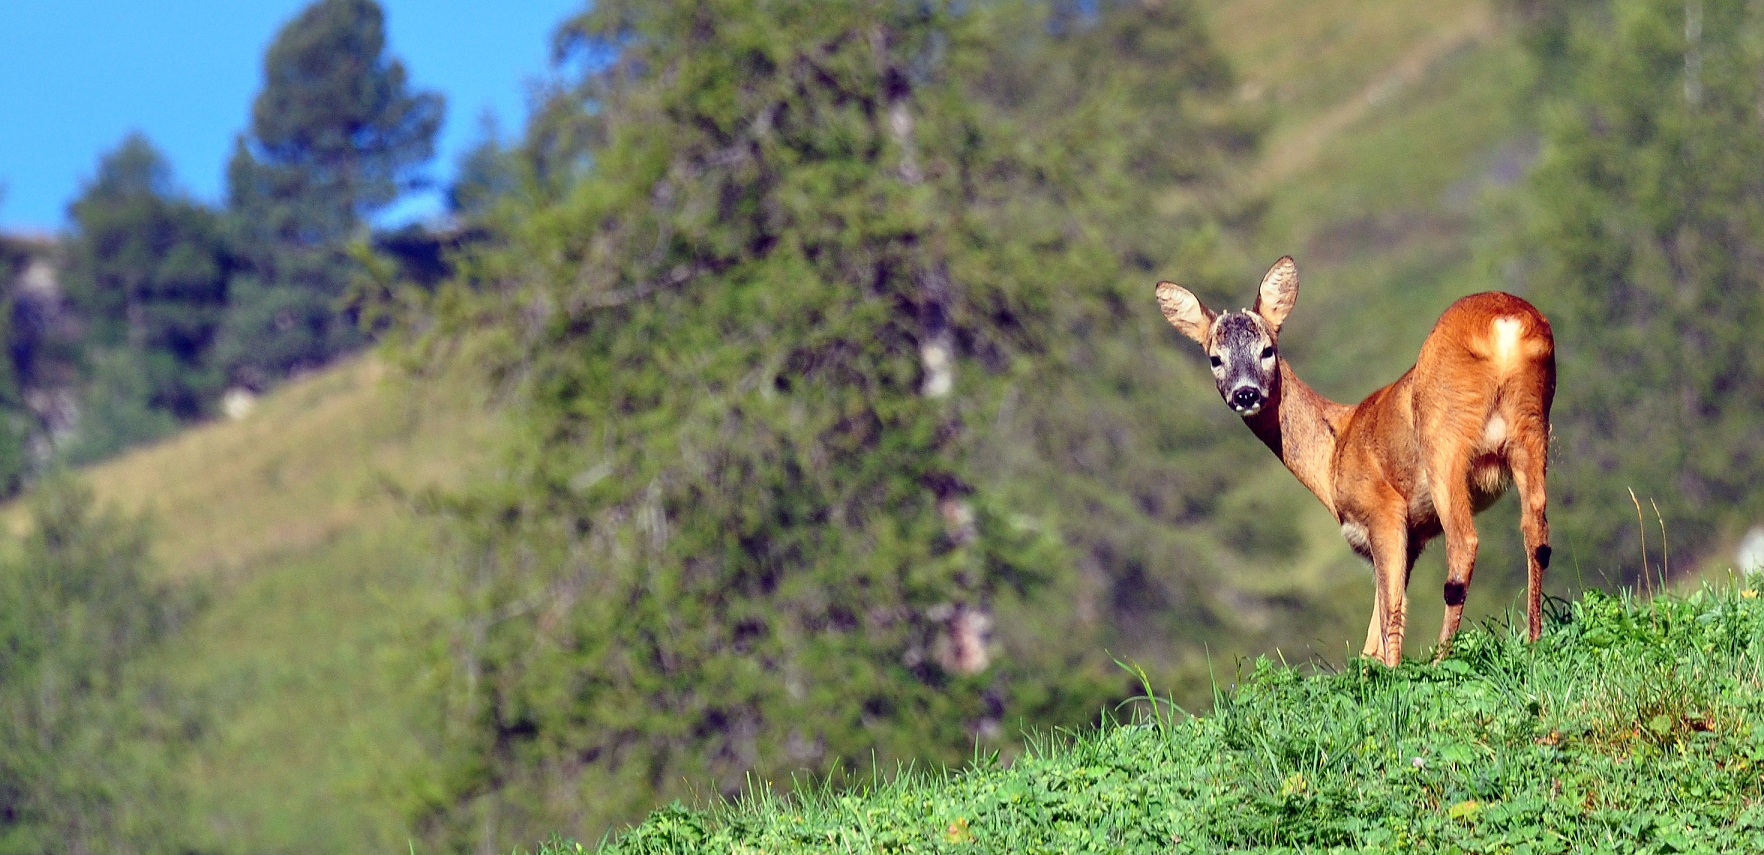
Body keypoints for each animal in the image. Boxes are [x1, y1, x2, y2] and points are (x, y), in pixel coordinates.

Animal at [1157, 257, 1559, 662]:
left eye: (1267, 349)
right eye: (1215, 358)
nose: (1245, 393)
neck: (1334, 450)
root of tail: (1504, 325)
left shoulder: (1384, 509)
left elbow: (1388, 612)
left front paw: (1394, 670)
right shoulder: (1413, 536)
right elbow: (1374, 633)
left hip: (1445, 441)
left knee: (1463, 545)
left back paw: (1441, 659)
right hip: (1532, 425)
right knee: (1536, 529)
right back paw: (1533, 639)